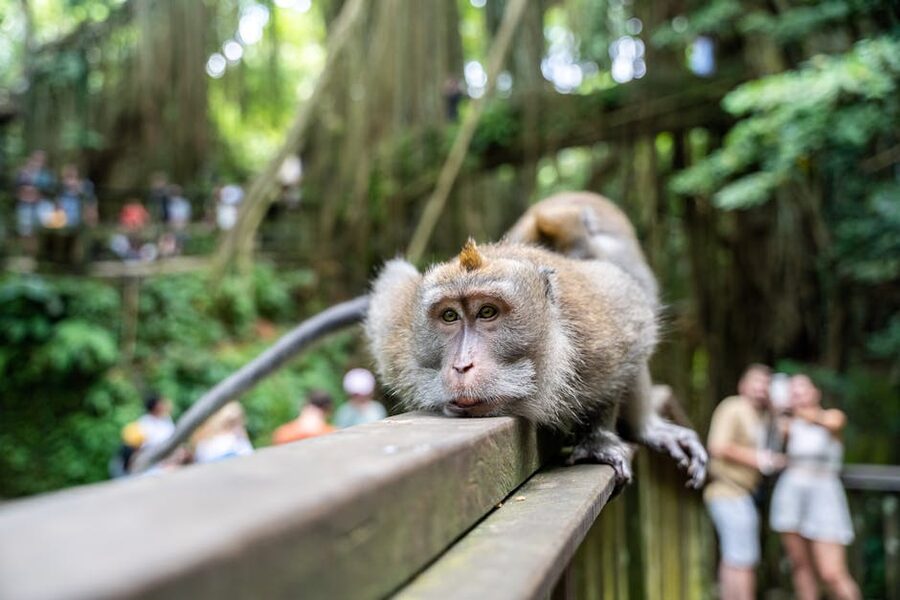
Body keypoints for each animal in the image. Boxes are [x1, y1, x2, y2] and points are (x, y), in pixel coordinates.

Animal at [365, 191, 707, 489]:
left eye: (487, 312)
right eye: (450, 316)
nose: (462, 366)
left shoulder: (603, 325)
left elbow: (630, 339)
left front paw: (598, 437)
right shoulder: (396, 337)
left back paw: (646, 427)